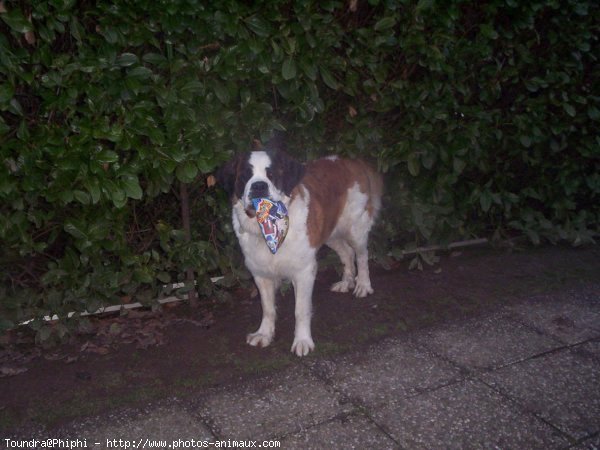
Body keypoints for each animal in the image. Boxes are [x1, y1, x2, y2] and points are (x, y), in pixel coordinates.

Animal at [218, 149, 382, 356]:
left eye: (272, 175)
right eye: (245, 176)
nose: (259, 186)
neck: (268, 227)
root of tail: (352, 161)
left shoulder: (303, 272)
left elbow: (300, 310)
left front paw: (302, 340)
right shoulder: (261, 274)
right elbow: (267, 307)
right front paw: (264, 334)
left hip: (355, 229)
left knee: (361, 255)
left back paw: (363, 285)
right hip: (329, 233)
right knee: (347, 253)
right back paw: (346, 282)